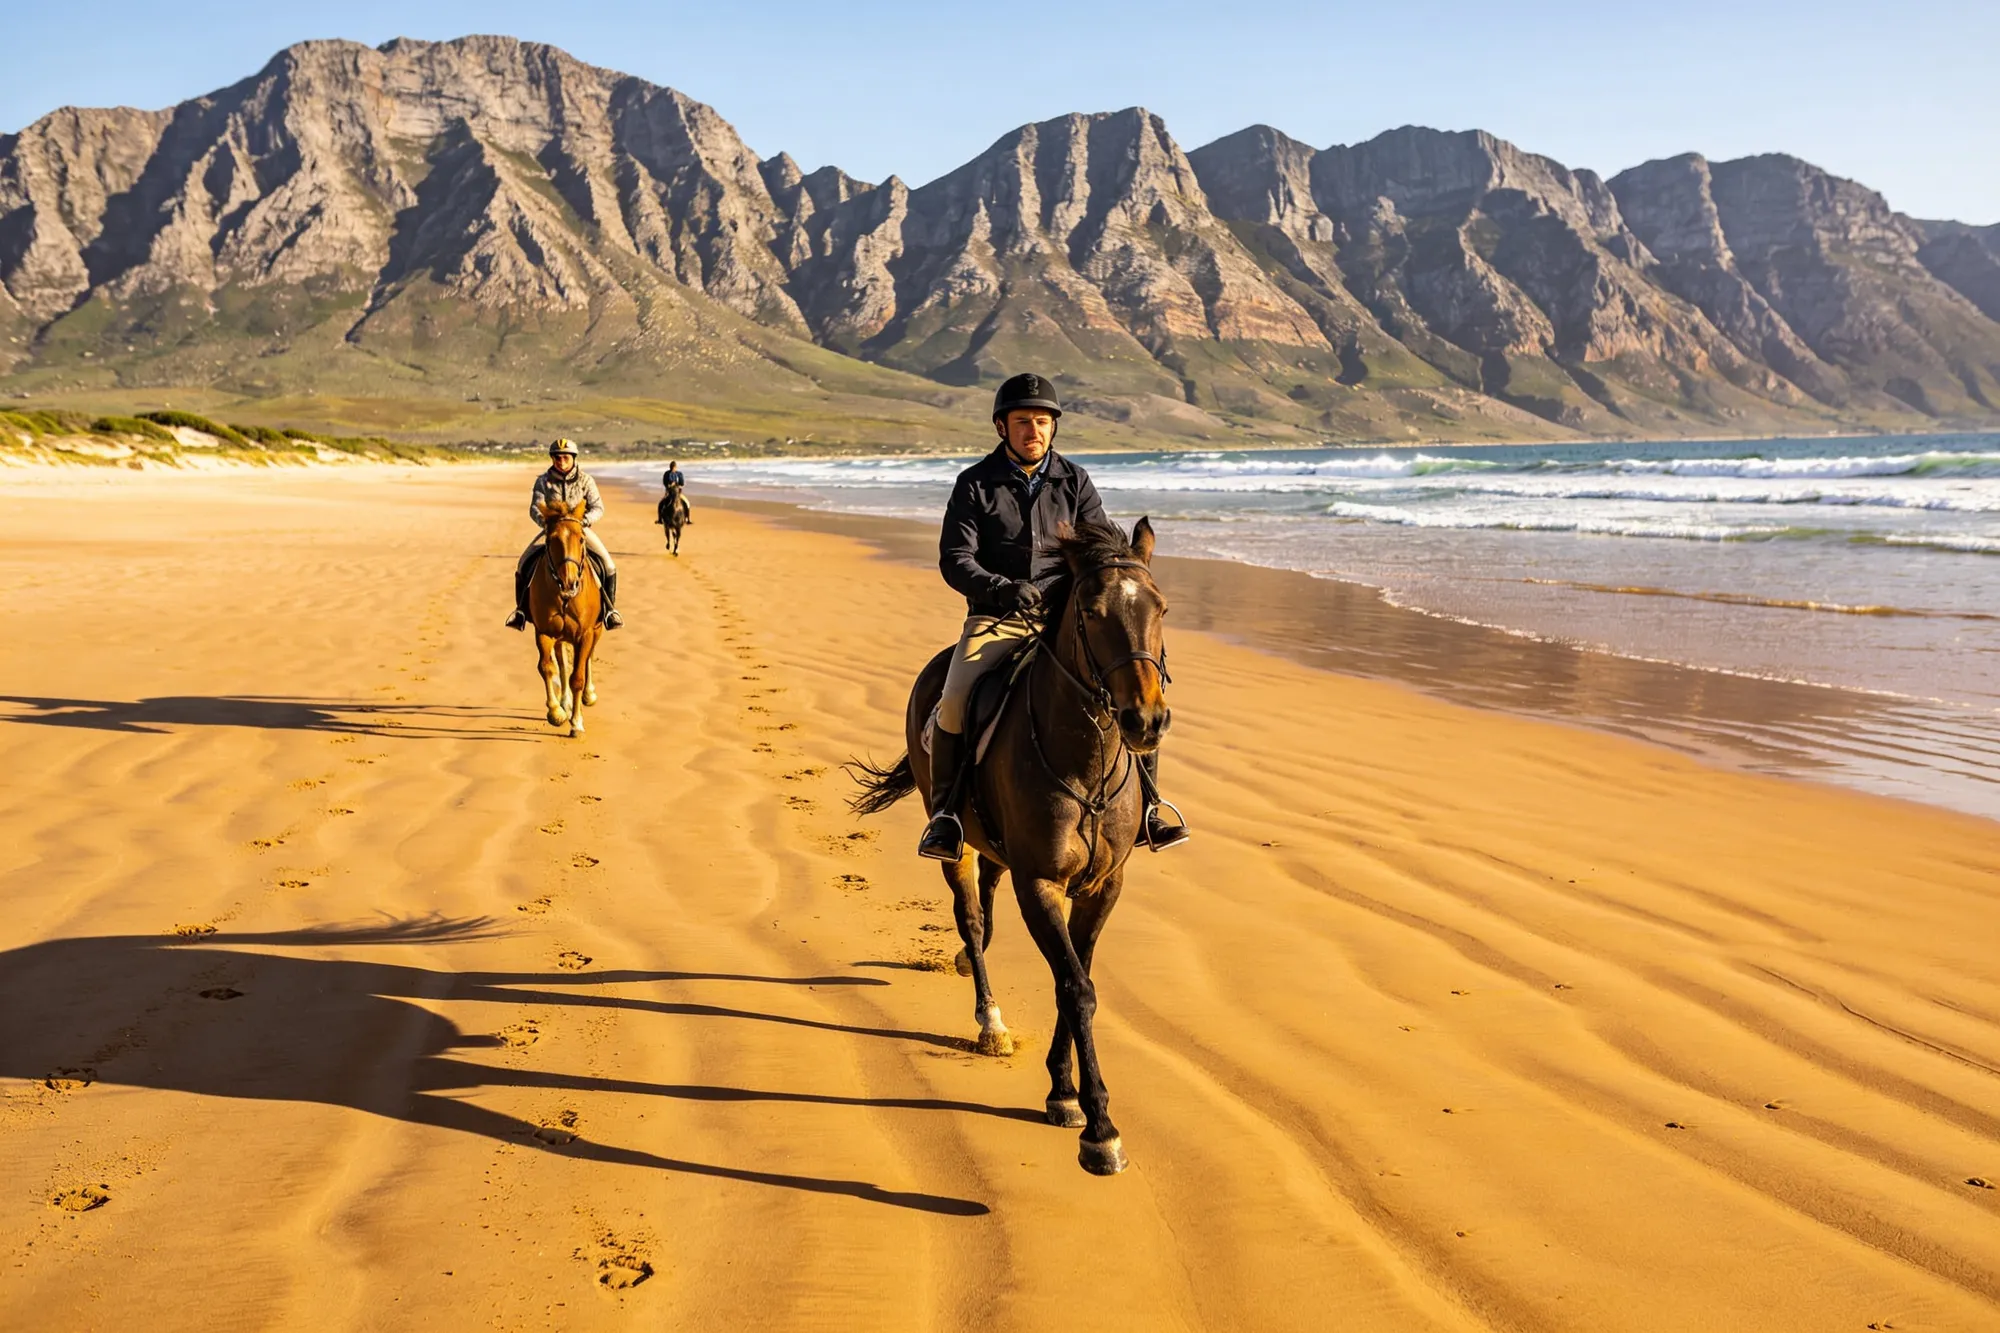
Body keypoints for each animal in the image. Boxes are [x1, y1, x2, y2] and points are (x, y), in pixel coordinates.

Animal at [527, 500, 602, 736]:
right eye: (551, 540)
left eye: (581, 538)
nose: (570, 583)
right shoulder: (543, 633)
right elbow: (547, 668)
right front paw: (556, 712)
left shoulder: (585, 635)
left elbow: (577, 676)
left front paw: (576, 723)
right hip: (560, 637)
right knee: (561, 664)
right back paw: (565, 702)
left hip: (596, 630)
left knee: (588, 658)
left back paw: (589, 695)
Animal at [849, 518, 1170, 1176]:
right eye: (1093, 611)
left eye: (1162, 608)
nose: (1146, 720)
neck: (1082, 763)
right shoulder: (1039, 883)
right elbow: (1076, 988)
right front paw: (1098, 1129)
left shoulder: (1103, 887)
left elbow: (1078, 977)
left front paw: (1063, 1092)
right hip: (956, 841)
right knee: (972, 918)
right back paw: (990, 1022)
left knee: (987, 906)